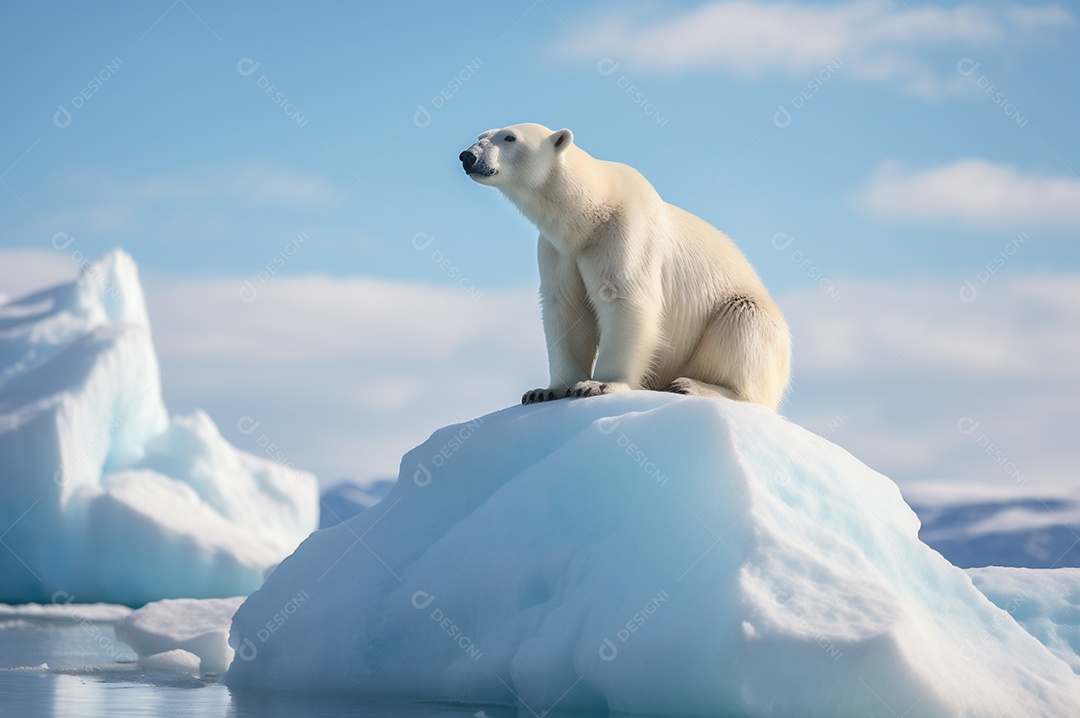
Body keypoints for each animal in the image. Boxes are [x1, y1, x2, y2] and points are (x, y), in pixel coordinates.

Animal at [459, 123, 791, 410]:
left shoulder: (624, 232)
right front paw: (546, 391)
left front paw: (599, 385)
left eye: (510, 137)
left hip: (746, 316)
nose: (468, 156)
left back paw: (694, 386)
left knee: (742, 324)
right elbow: (565, 308)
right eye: (481, 135)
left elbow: (626, 299)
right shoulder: (558, 251)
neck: (588, 214)